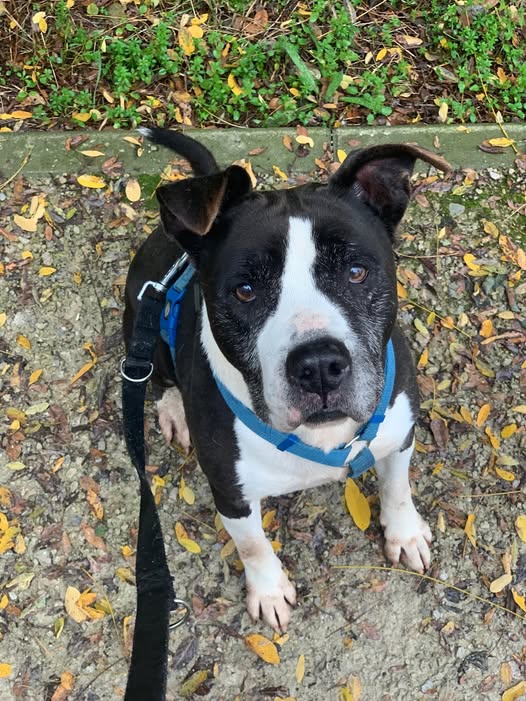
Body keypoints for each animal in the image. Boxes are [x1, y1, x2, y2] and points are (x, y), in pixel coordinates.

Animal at [123, 128, 451, 631]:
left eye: (356, 271)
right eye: (245, 290)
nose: (319, 365)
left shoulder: (399, 434)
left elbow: (397, 488)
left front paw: (405, 534)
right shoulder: (231, 493)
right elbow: (252, 544)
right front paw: (269, 590)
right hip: (145, 329)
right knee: (158, 379)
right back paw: (174, 411)